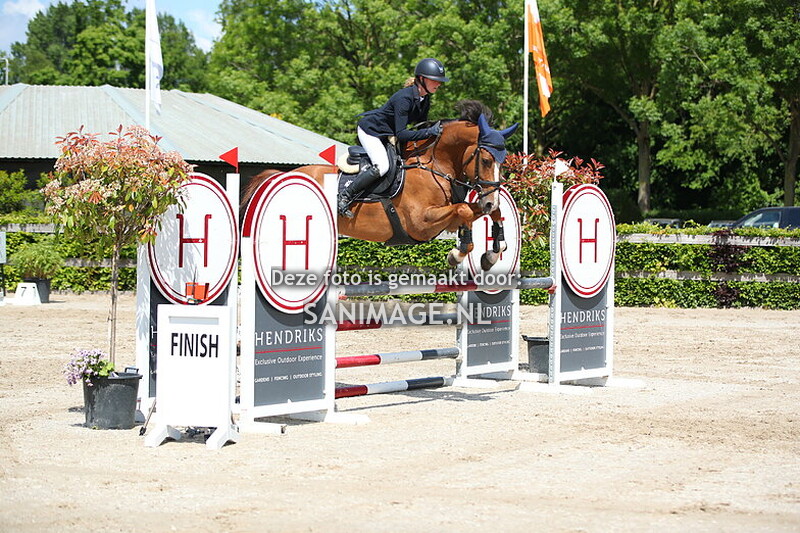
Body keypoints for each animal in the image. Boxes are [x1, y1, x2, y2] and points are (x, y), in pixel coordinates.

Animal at [242, 100, 518, 270]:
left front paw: (493, 253)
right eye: (486, 160)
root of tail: (284, 174)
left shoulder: (445, 218)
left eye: (503, 162)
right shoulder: (421, 224)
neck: (434, 165)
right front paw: (456, 254)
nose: (489, 199)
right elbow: (464, 211)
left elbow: (482, 212)